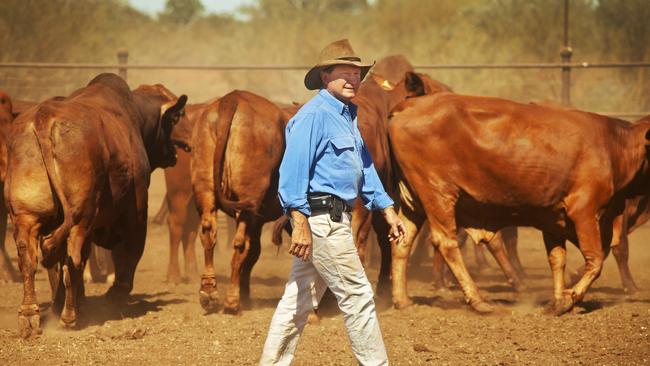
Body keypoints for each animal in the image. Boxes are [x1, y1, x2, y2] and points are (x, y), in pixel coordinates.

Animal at [5, 73, 186, 338]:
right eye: (173, 120)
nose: (175, 153)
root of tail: (43, 117)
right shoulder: (135, 212)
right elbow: (129, 253)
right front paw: (115, 295)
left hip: (27, 216)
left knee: (30, 260)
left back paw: (30, 315)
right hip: (80, 219)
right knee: (73, 260)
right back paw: (69, 317)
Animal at [191, 90, 294, 314]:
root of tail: (232, 99)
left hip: (205, 188)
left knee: (208, 232)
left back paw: (209, 291)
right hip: (248, 201)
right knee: (240, 245)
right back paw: (232, 300)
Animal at [388, 92, 648, 314]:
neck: (613, 145)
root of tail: (410, 105)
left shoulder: (553, 217)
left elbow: (557, 259)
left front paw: (557, 300)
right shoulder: (585, 211)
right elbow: (595, 260)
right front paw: (569, 298)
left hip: (414, 201)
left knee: (403, 241)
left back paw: (402, 300)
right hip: (437, 193)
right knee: (446, 242)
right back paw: (478, 300)